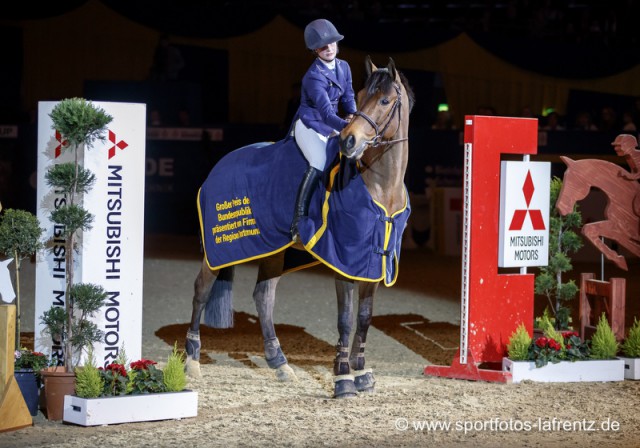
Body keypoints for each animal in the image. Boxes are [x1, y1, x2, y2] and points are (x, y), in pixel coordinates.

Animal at [185, 57, 416, 400]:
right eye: (361, 97)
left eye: (385, 101)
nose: (348, 141)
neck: (379, 185)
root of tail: (221, 164)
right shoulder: (345, 262)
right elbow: (345, 319)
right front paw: (343, 378)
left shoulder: (373, 262)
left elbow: (364, 319)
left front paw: (362, 374)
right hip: (220, 248)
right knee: (201, 290)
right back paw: (191, 362)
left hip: (272, 248)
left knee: (263, 297)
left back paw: (280, 364)